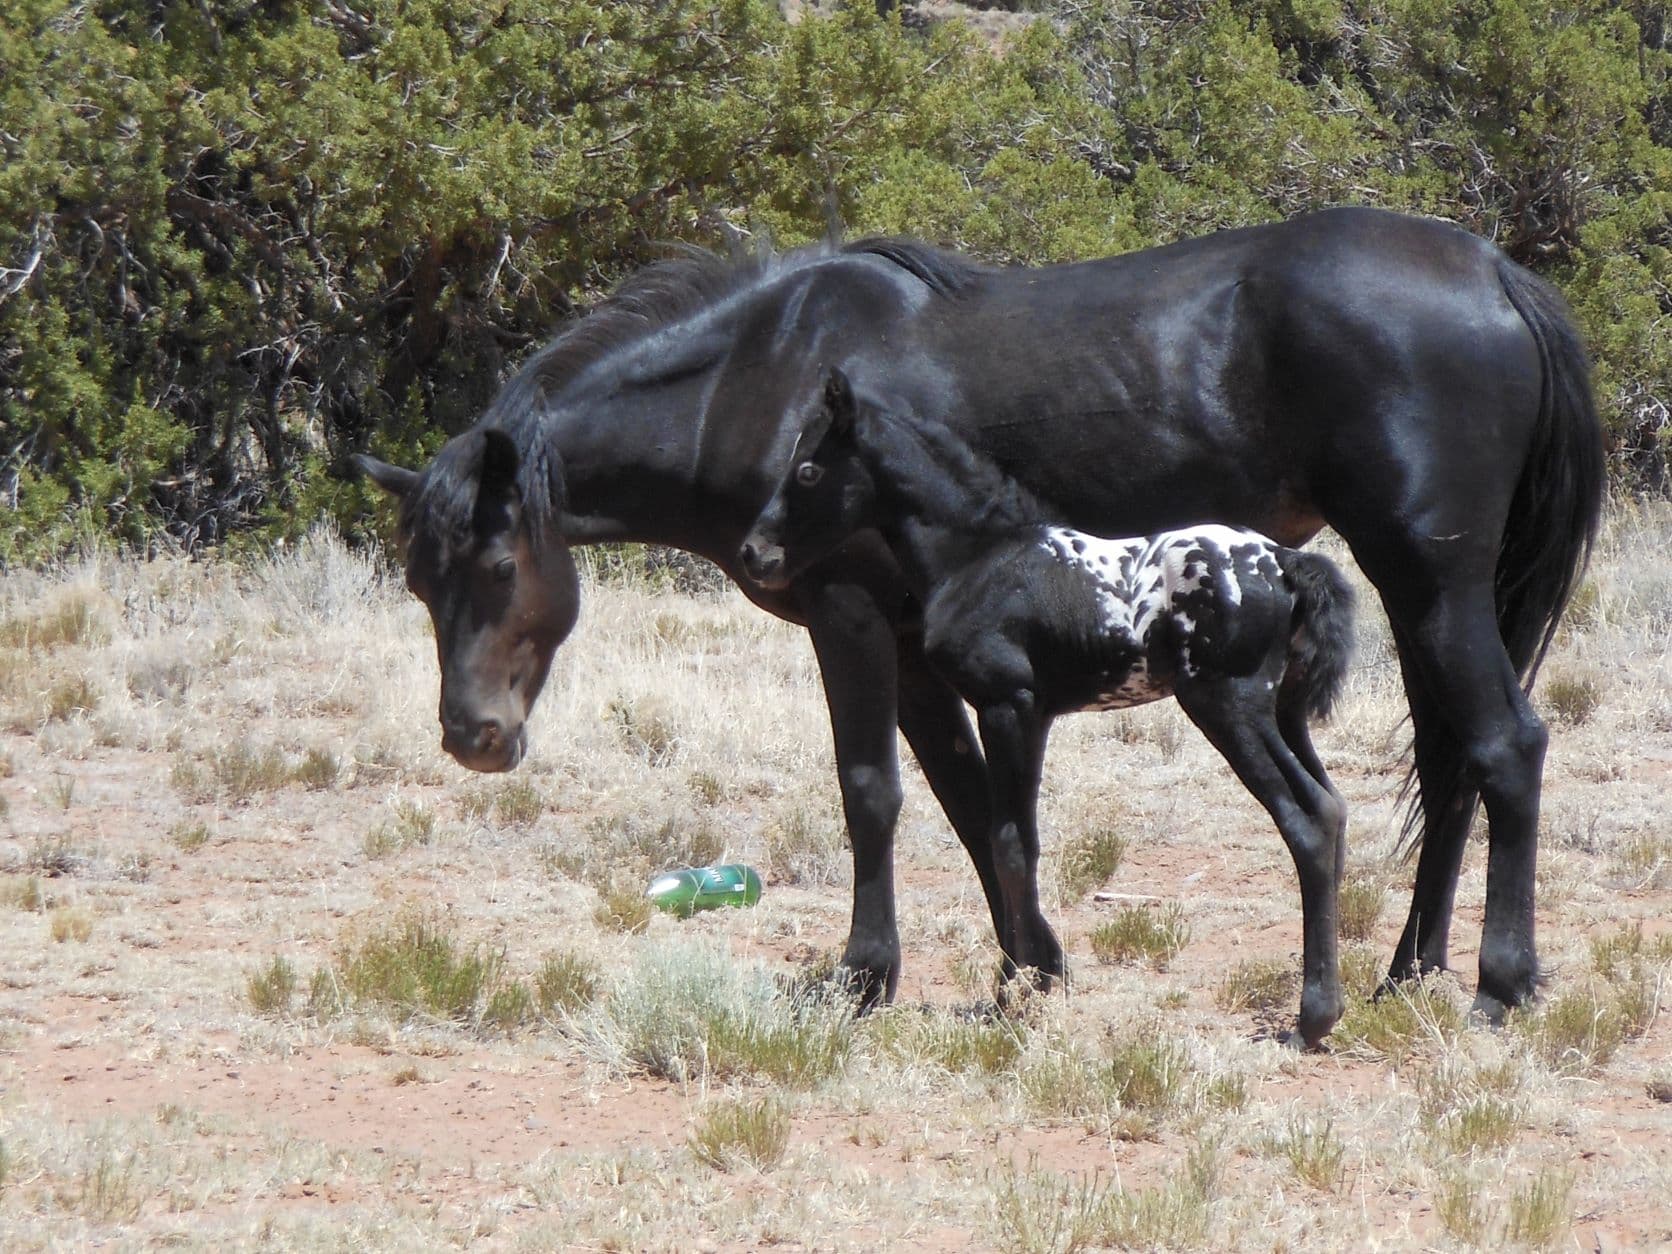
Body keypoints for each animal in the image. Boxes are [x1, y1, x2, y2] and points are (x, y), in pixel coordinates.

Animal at [739, 371, 1357, 1045]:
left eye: (807, 470)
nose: (754, 553)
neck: (979, 557)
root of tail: (1286, 563)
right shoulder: (1032, 715)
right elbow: (1013, 840)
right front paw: (1028, 981)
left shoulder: (1008, 705)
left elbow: (1010, 844)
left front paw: (1018, 994)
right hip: (1285, 713)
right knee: (1334, 809)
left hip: (1230, 706)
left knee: (1306, 819)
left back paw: (1311, 1019)